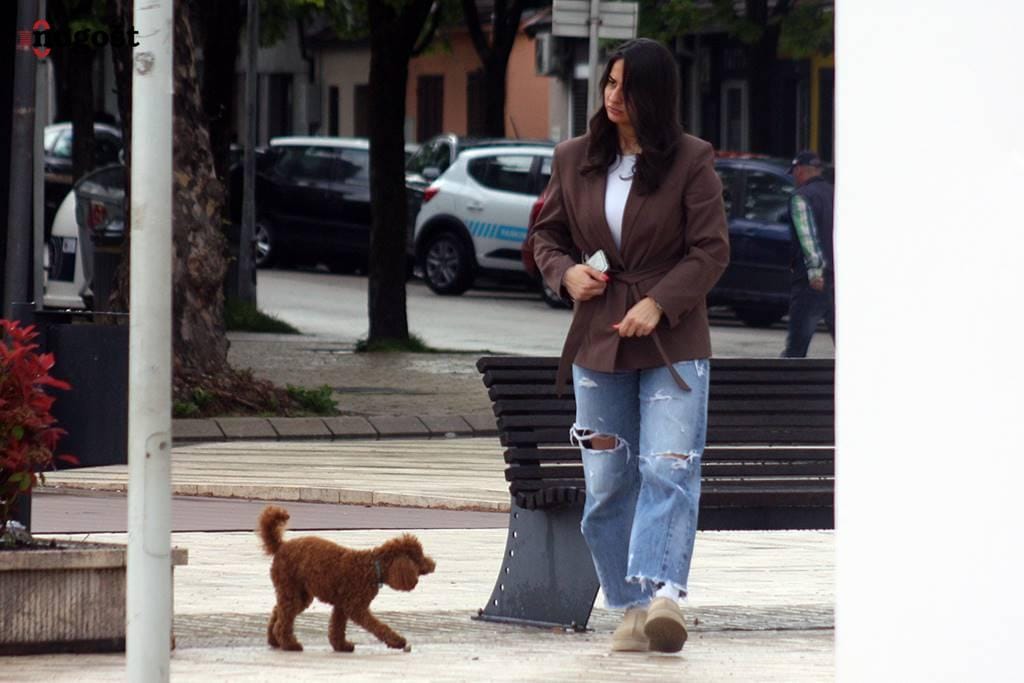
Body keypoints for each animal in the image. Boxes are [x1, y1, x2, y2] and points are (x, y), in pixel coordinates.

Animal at [258, 505, 436, 653]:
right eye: (419, 557)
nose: (433, 564)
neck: (373, 567)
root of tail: (281, 546)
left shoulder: (341, 606)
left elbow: (337, 628)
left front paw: (341, 646)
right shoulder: (356, 607)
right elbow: (377, 626)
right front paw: (396, 641)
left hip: (298, 594)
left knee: (278, 612)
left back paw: (274, 641)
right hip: (291, 589)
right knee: (283, 620)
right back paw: (290, 644)